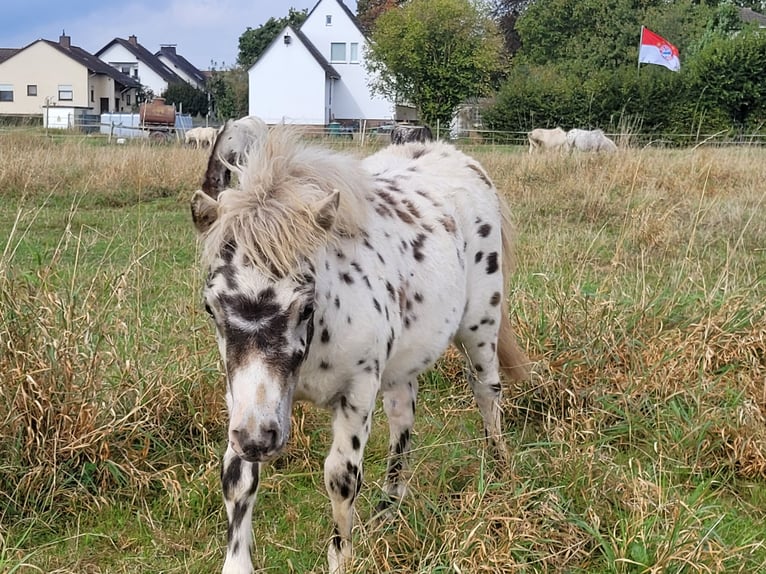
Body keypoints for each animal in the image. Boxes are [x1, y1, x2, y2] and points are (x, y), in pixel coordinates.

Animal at [189, 128, 532, 574]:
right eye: (211, 307)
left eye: (306, 305)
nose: (259, 439)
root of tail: (455, 155)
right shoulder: (245, 398)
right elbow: (238, 479)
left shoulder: (357, 390)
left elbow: (341, 477)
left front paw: (342, 558)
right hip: (404, 362)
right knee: (403, 418)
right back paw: (388, 510)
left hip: (480, 329)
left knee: (487, 393)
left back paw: (500, 471)